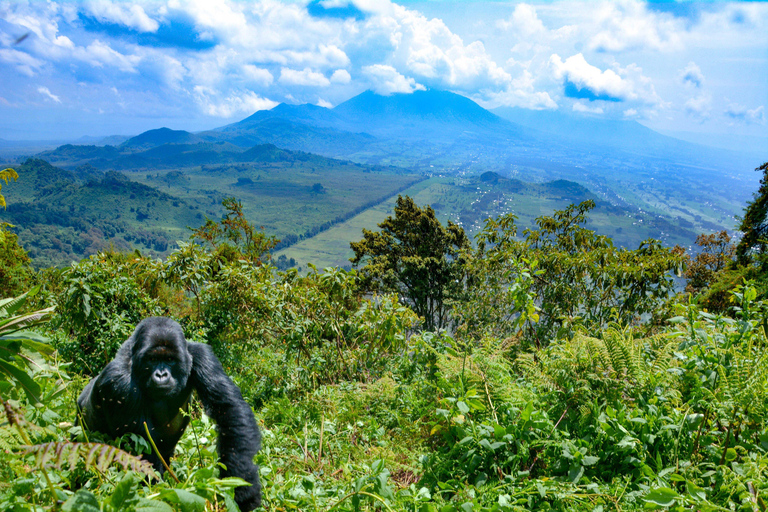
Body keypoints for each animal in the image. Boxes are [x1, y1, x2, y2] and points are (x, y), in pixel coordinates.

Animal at [77, 318, 262, 510]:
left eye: (170, 359)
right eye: (152, 359)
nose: (161, 374)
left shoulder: (202, 356)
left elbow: (229, 409)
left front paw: (243, 485)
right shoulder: (118, 381)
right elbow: (140, 447)